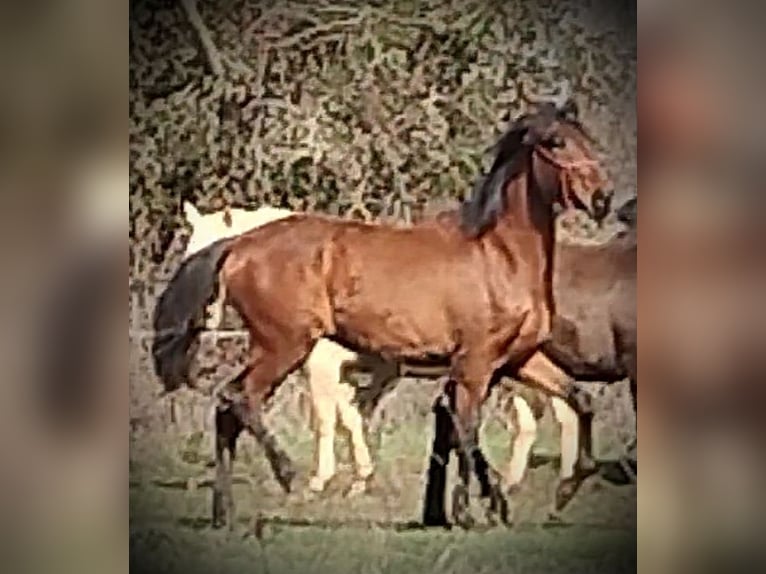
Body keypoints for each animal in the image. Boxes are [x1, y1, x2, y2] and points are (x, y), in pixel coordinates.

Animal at [152, 100, 613, 529]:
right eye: (555, 142)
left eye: (586, 137)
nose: (602, 199)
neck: (499, 255)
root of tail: (240, 244)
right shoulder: (476, 365)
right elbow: (465, 430)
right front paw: (467, 511)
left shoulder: (519, 359)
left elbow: (580, 400)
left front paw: (562, 488)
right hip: (283, 345)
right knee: (237, 398)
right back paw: (288, 475)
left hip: (276, 348)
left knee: (227, 409)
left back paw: (224, 513)